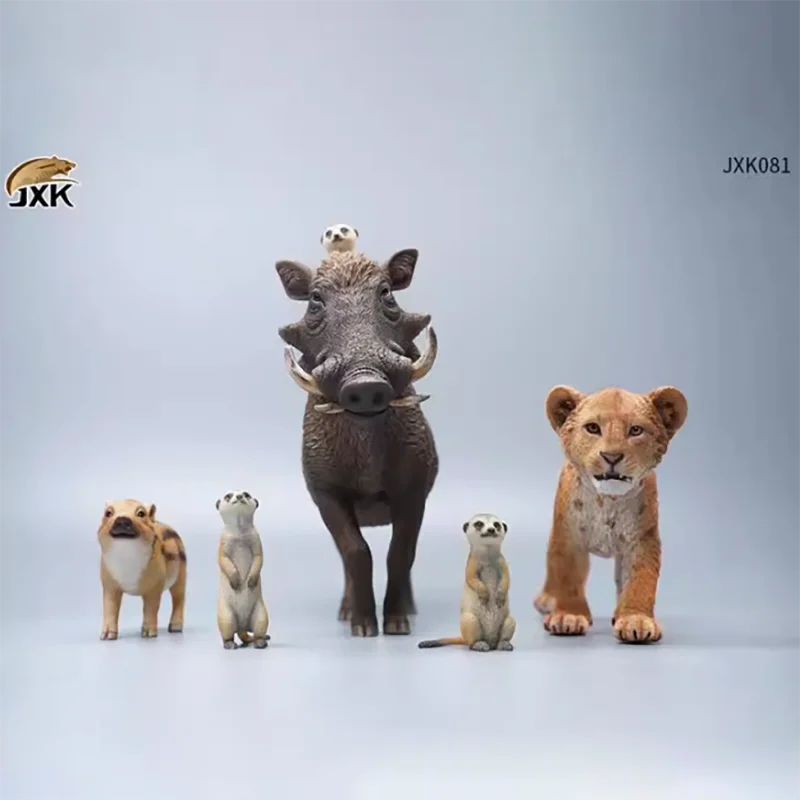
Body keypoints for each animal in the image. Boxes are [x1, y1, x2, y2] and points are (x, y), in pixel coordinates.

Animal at [534, 384, 688, 644]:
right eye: (593, 428)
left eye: (635, 430)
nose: (612, 457)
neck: (608, 500)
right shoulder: (568, 537)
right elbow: (567, 576)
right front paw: (568, 617)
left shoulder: (642, 540)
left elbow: (640, 581)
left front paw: (635, 619)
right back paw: (546, 601)